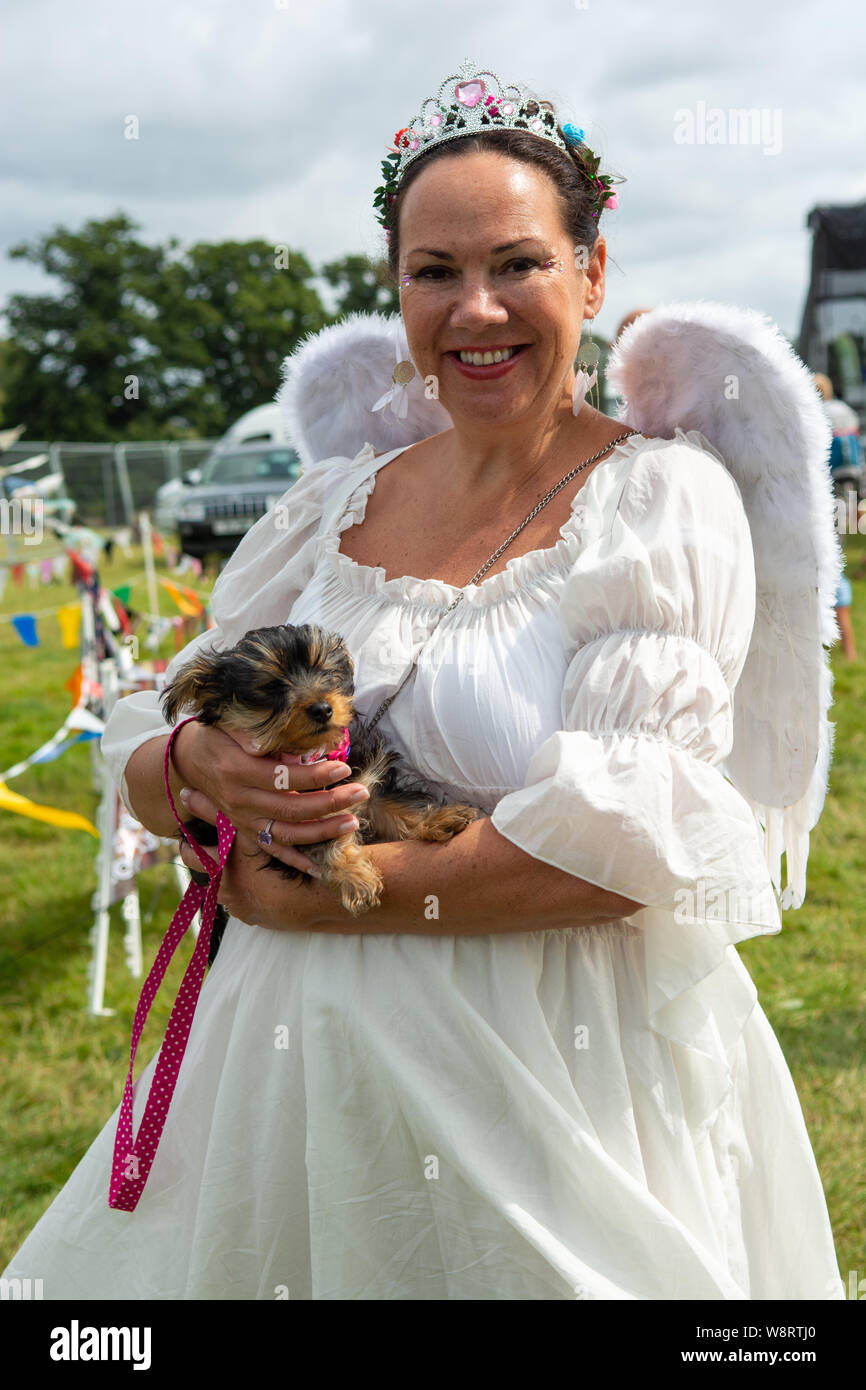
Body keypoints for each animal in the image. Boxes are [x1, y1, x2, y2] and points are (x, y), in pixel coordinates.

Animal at [159, 625, 478, 950]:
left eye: (325, 672)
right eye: (272, 686)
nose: (323, 708)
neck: (311, 755)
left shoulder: (364, 783)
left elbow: (393, 805)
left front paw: (438, 818)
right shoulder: (301, 821)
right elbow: (325, 840)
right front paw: (356, 876)